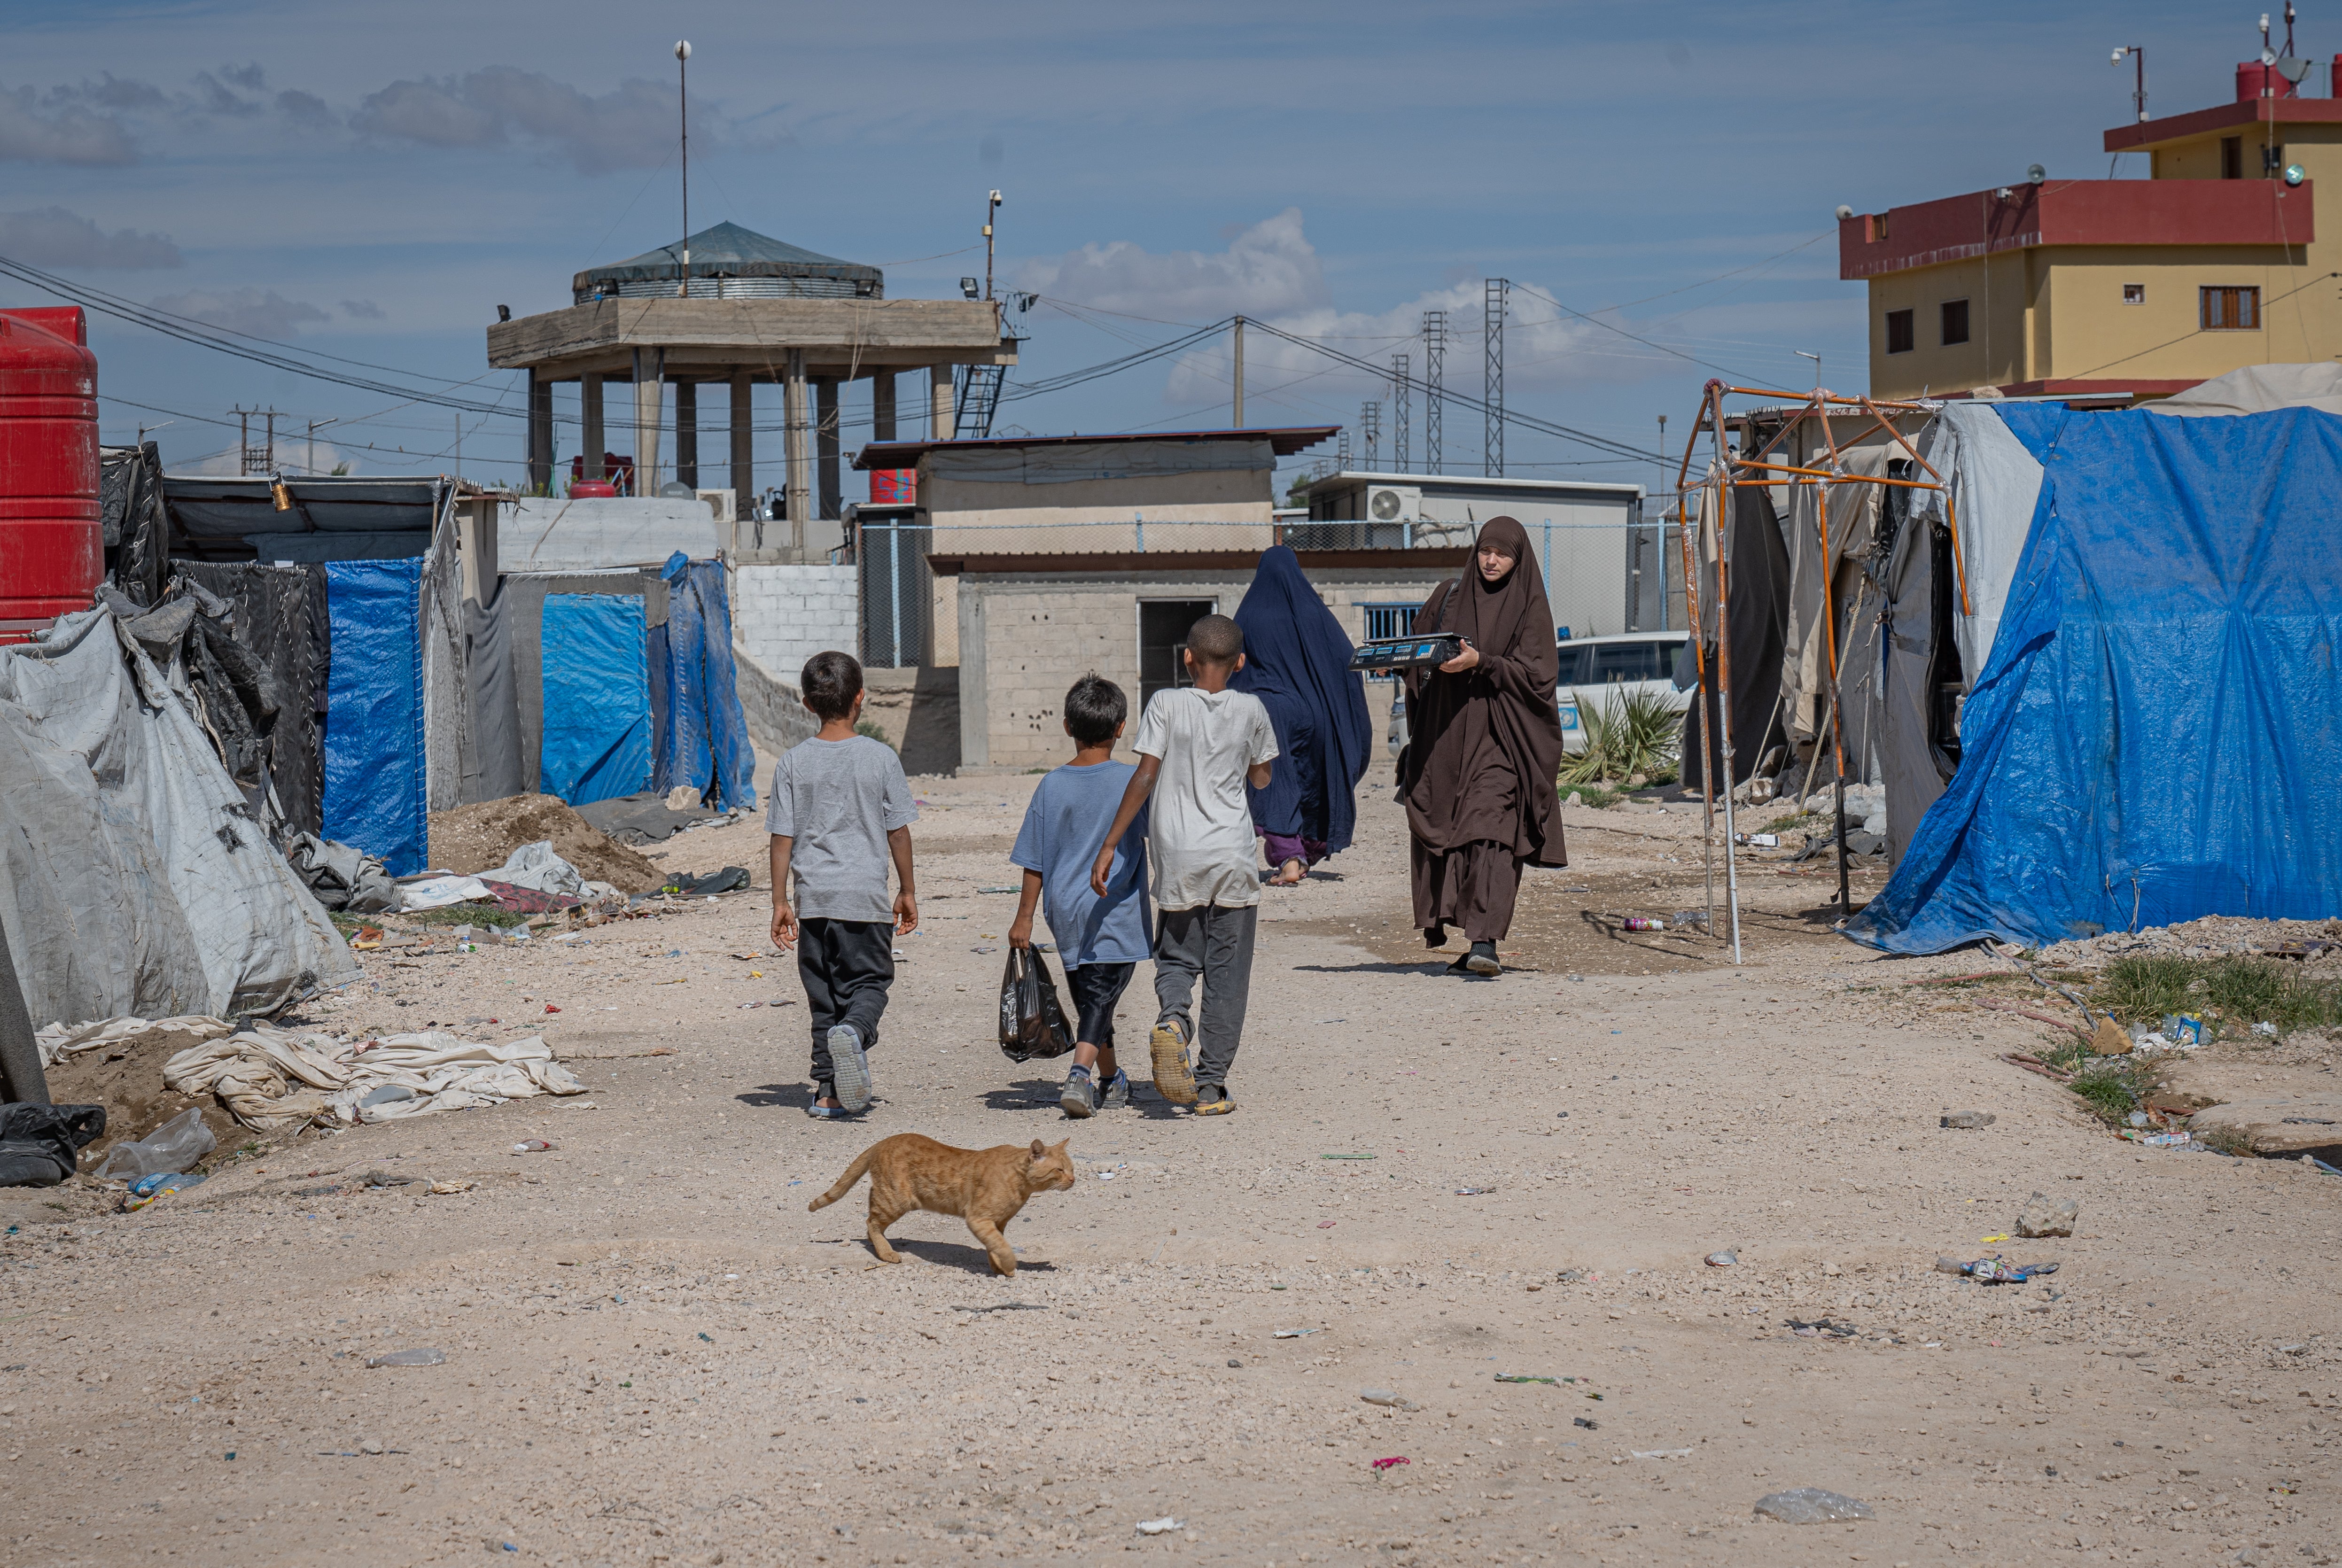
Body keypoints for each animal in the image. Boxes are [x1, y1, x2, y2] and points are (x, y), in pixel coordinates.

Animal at [810, 1142, 1073, 1273]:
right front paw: (1009, 1267)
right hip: (895, 1200)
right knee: (871, 1222)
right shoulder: (978, 1219)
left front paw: (997, 1268)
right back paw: (886, 1253)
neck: (1021, 1185)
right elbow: (1002, 1247)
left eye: (1072, 1168)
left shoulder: (997, 1223)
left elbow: (995, 1245)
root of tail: (883, 1141)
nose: (1073, 1180)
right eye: (1059, 1170)